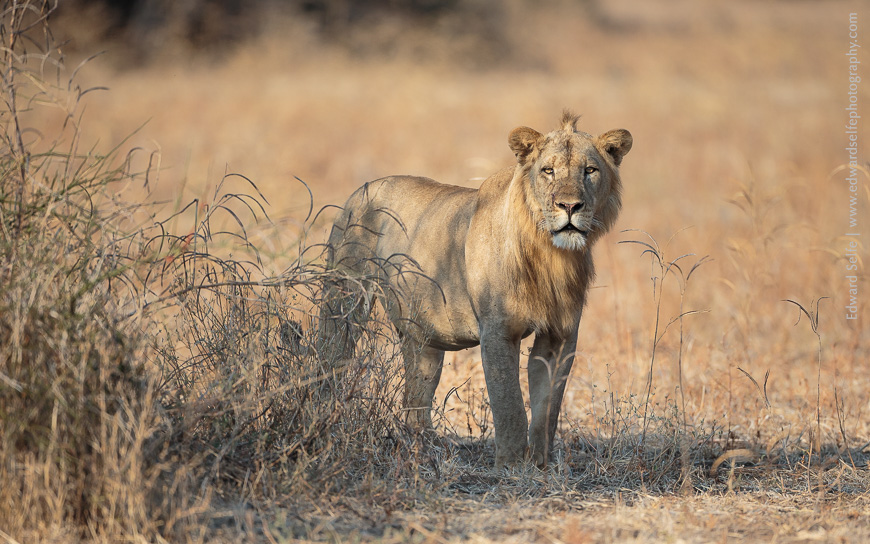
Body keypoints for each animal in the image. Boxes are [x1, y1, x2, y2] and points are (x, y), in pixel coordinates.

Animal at [319, 111, 632, 468]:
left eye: (589, 170)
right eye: (548, 171)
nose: (569, 206)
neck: (550, 255)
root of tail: (360, 190)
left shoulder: (561, 335)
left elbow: (547, 408)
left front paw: (540, 464)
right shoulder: (497, 331)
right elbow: (509, 404)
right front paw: (511, 465)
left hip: (422, 337)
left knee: (415, 399)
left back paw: (426, 449)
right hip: (343, 301)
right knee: (330, 359)